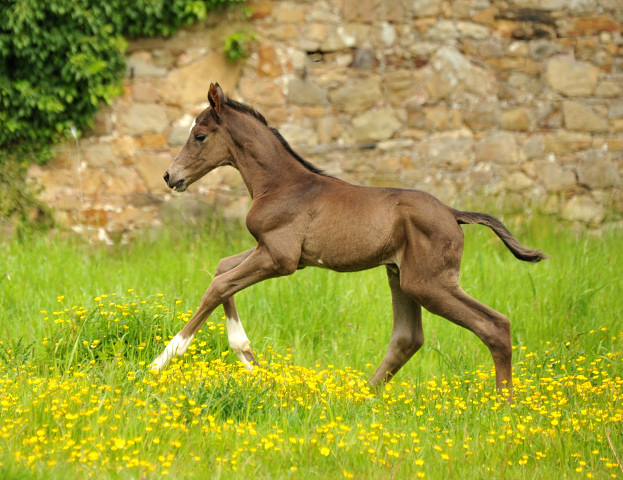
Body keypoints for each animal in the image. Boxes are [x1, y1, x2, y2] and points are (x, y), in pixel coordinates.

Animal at [152, 82, 544, 396]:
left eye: (199, 136)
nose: (170, 176)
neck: (281, 184)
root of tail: (452, 212)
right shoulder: (274, 251)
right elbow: (222, 270)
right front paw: (248, 356)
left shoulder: (281, 258)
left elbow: (218, 285)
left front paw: (162, 360)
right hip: (400, 275)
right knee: (408, 337)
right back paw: (360, 395)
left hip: (429, 283)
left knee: (495, 325)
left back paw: (503, 404)